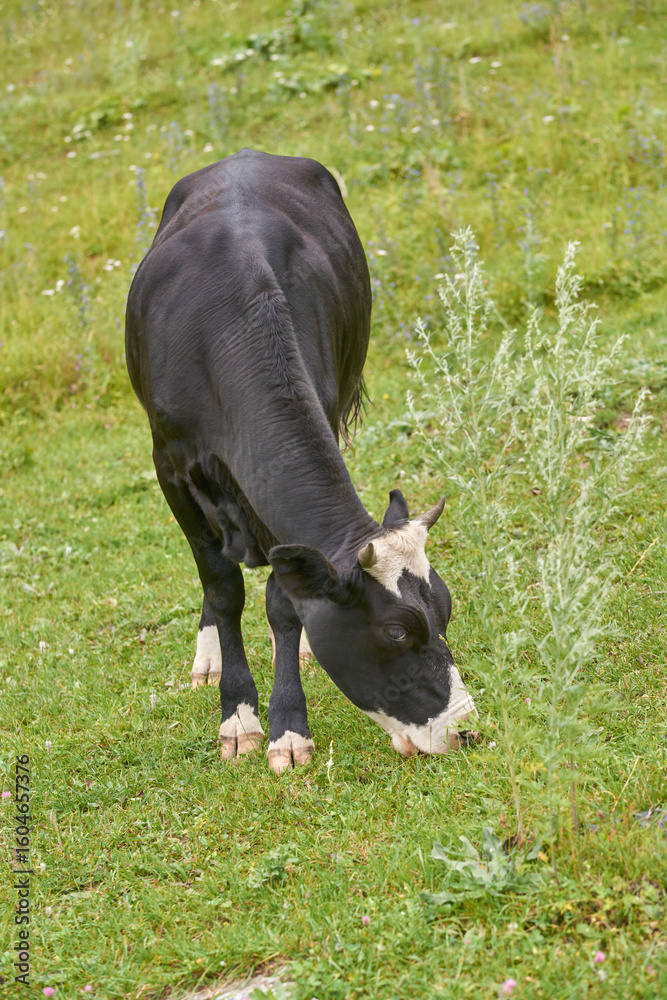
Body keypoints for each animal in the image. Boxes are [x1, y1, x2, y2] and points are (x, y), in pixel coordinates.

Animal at [125, 148, 476, 775]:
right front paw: (239, 717)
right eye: (396, 632)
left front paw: (288, 726)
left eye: (445, 609)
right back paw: (210, 653)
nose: (464, 731)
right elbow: (222, 587)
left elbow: (283, 602)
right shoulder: (169, 463)